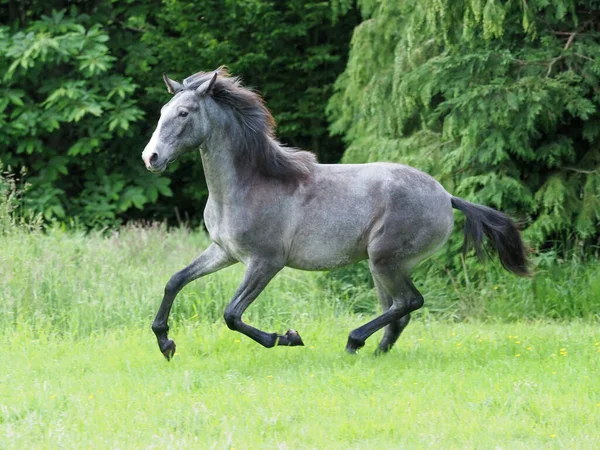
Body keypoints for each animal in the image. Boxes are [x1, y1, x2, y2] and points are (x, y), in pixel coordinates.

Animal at [139, 67, 524, 362]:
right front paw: (165, 343)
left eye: (184, 113)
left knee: (409, 302)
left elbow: (232, 315)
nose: (150, 158)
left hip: (385, 260)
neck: (249, 185)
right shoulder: (225, 252)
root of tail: (446, 196)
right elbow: (175, 281)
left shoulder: (265, 262)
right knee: (398, 311)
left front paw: (287, 337)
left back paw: (355, 341)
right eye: (162, 111)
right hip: (382, 266)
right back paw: (375, 352)